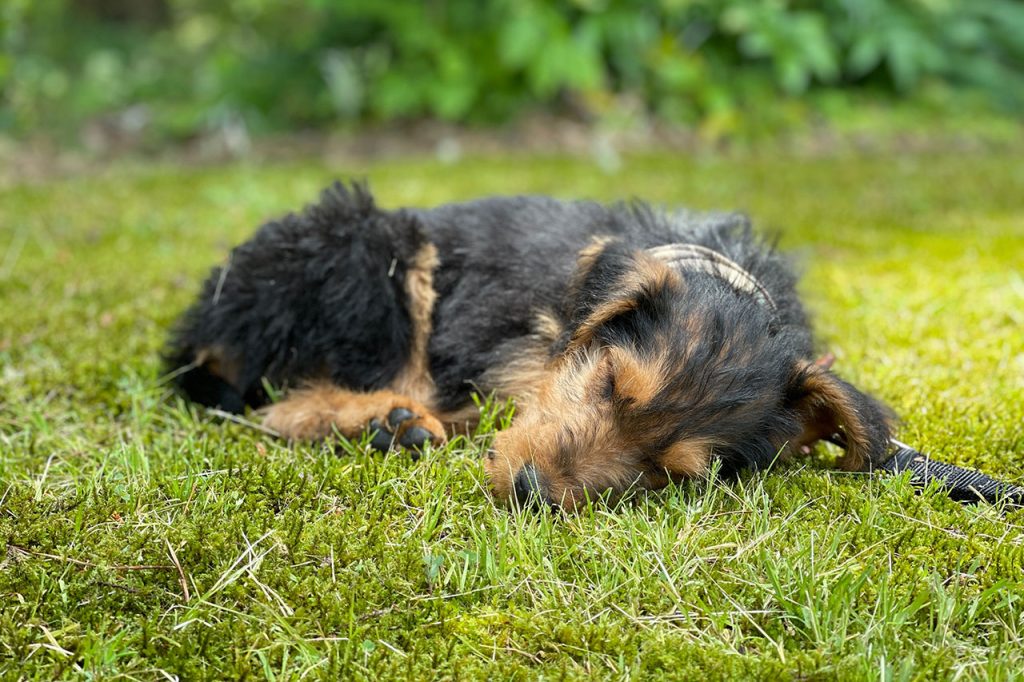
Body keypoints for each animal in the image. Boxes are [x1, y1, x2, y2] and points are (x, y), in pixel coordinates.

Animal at [165, 180, 888, 509]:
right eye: (609, 382)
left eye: (668, 473)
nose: (530, 490)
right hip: (371, 249)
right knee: (279, 403)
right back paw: (387, 419)